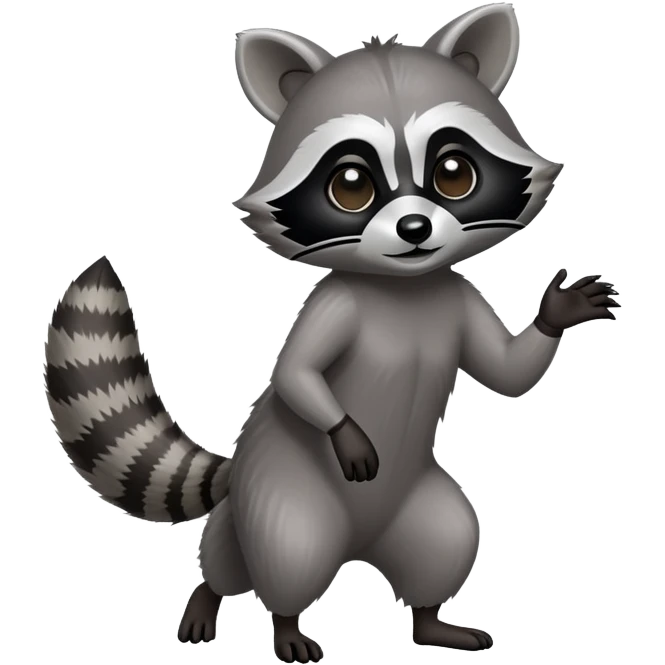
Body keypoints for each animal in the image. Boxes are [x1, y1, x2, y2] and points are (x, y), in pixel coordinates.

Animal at [43, 4, 620, 662]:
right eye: (351, 185)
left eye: (454, 174)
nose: (415, 229)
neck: (403, 287)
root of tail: (361, 547)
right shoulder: (335, 302)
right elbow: (296, 372)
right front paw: (346, 432)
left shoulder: (453, 291)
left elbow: (506, 372)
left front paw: (557, 310)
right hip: (279, 489)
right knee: (275, 552)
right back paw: (254, 612)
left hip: (418, 508)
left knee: (447, 538)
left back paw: (431, 622)